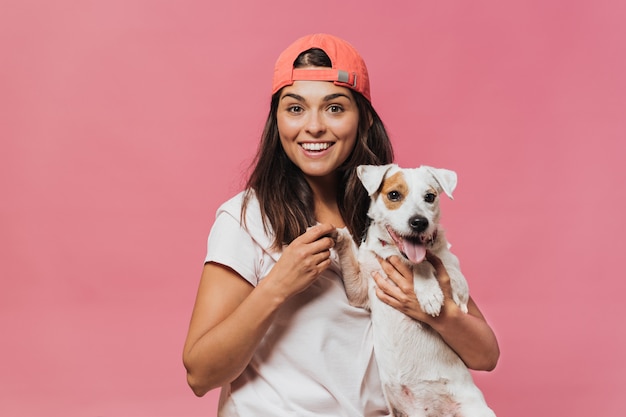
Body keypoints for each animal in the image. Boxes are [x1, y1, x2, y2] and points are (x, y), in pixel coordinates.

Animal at [334, 164, 494, 414]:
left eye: (430, 197)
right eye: (393, 195)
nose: (419, 222)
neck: (395, 253)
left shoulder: (459, 286)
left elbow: (425, 262)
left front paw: (428, 293)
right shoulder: (359, 289)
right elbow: (350, 254)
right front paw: (337, 234)